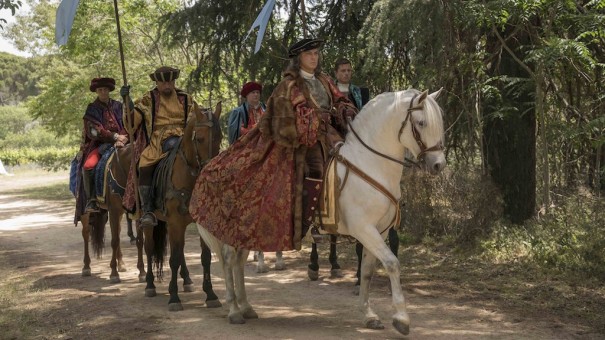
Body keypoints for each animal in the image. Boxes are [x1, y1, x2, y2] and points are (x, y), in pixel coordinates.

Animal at [143, 101, 223, 310]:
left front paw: (211, 294)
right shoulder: (175, 223)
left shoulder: (195, 222)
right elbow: (173, 259)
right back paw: (149, 284)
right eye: (200, 138)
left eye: (219, 137)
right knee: (149, 248)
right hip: (148, 222)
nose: (210, 169)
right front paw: (173, 297)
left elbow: (205, 257)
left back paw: (186, 280)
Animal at [196, 89, 446, 336]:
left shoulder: (379, 231)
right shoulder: (364, 229)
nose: (438, 165)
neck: (369, 165)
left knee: (238, 262)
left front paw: (369, 315)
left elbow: (367, 270)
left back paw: (247, 307)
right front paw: (402, 319)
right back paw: (233, 310)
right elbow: (392, 264)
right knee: (229, 260)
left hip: (248, 232)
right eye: (421, 123)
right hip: (234, 227)